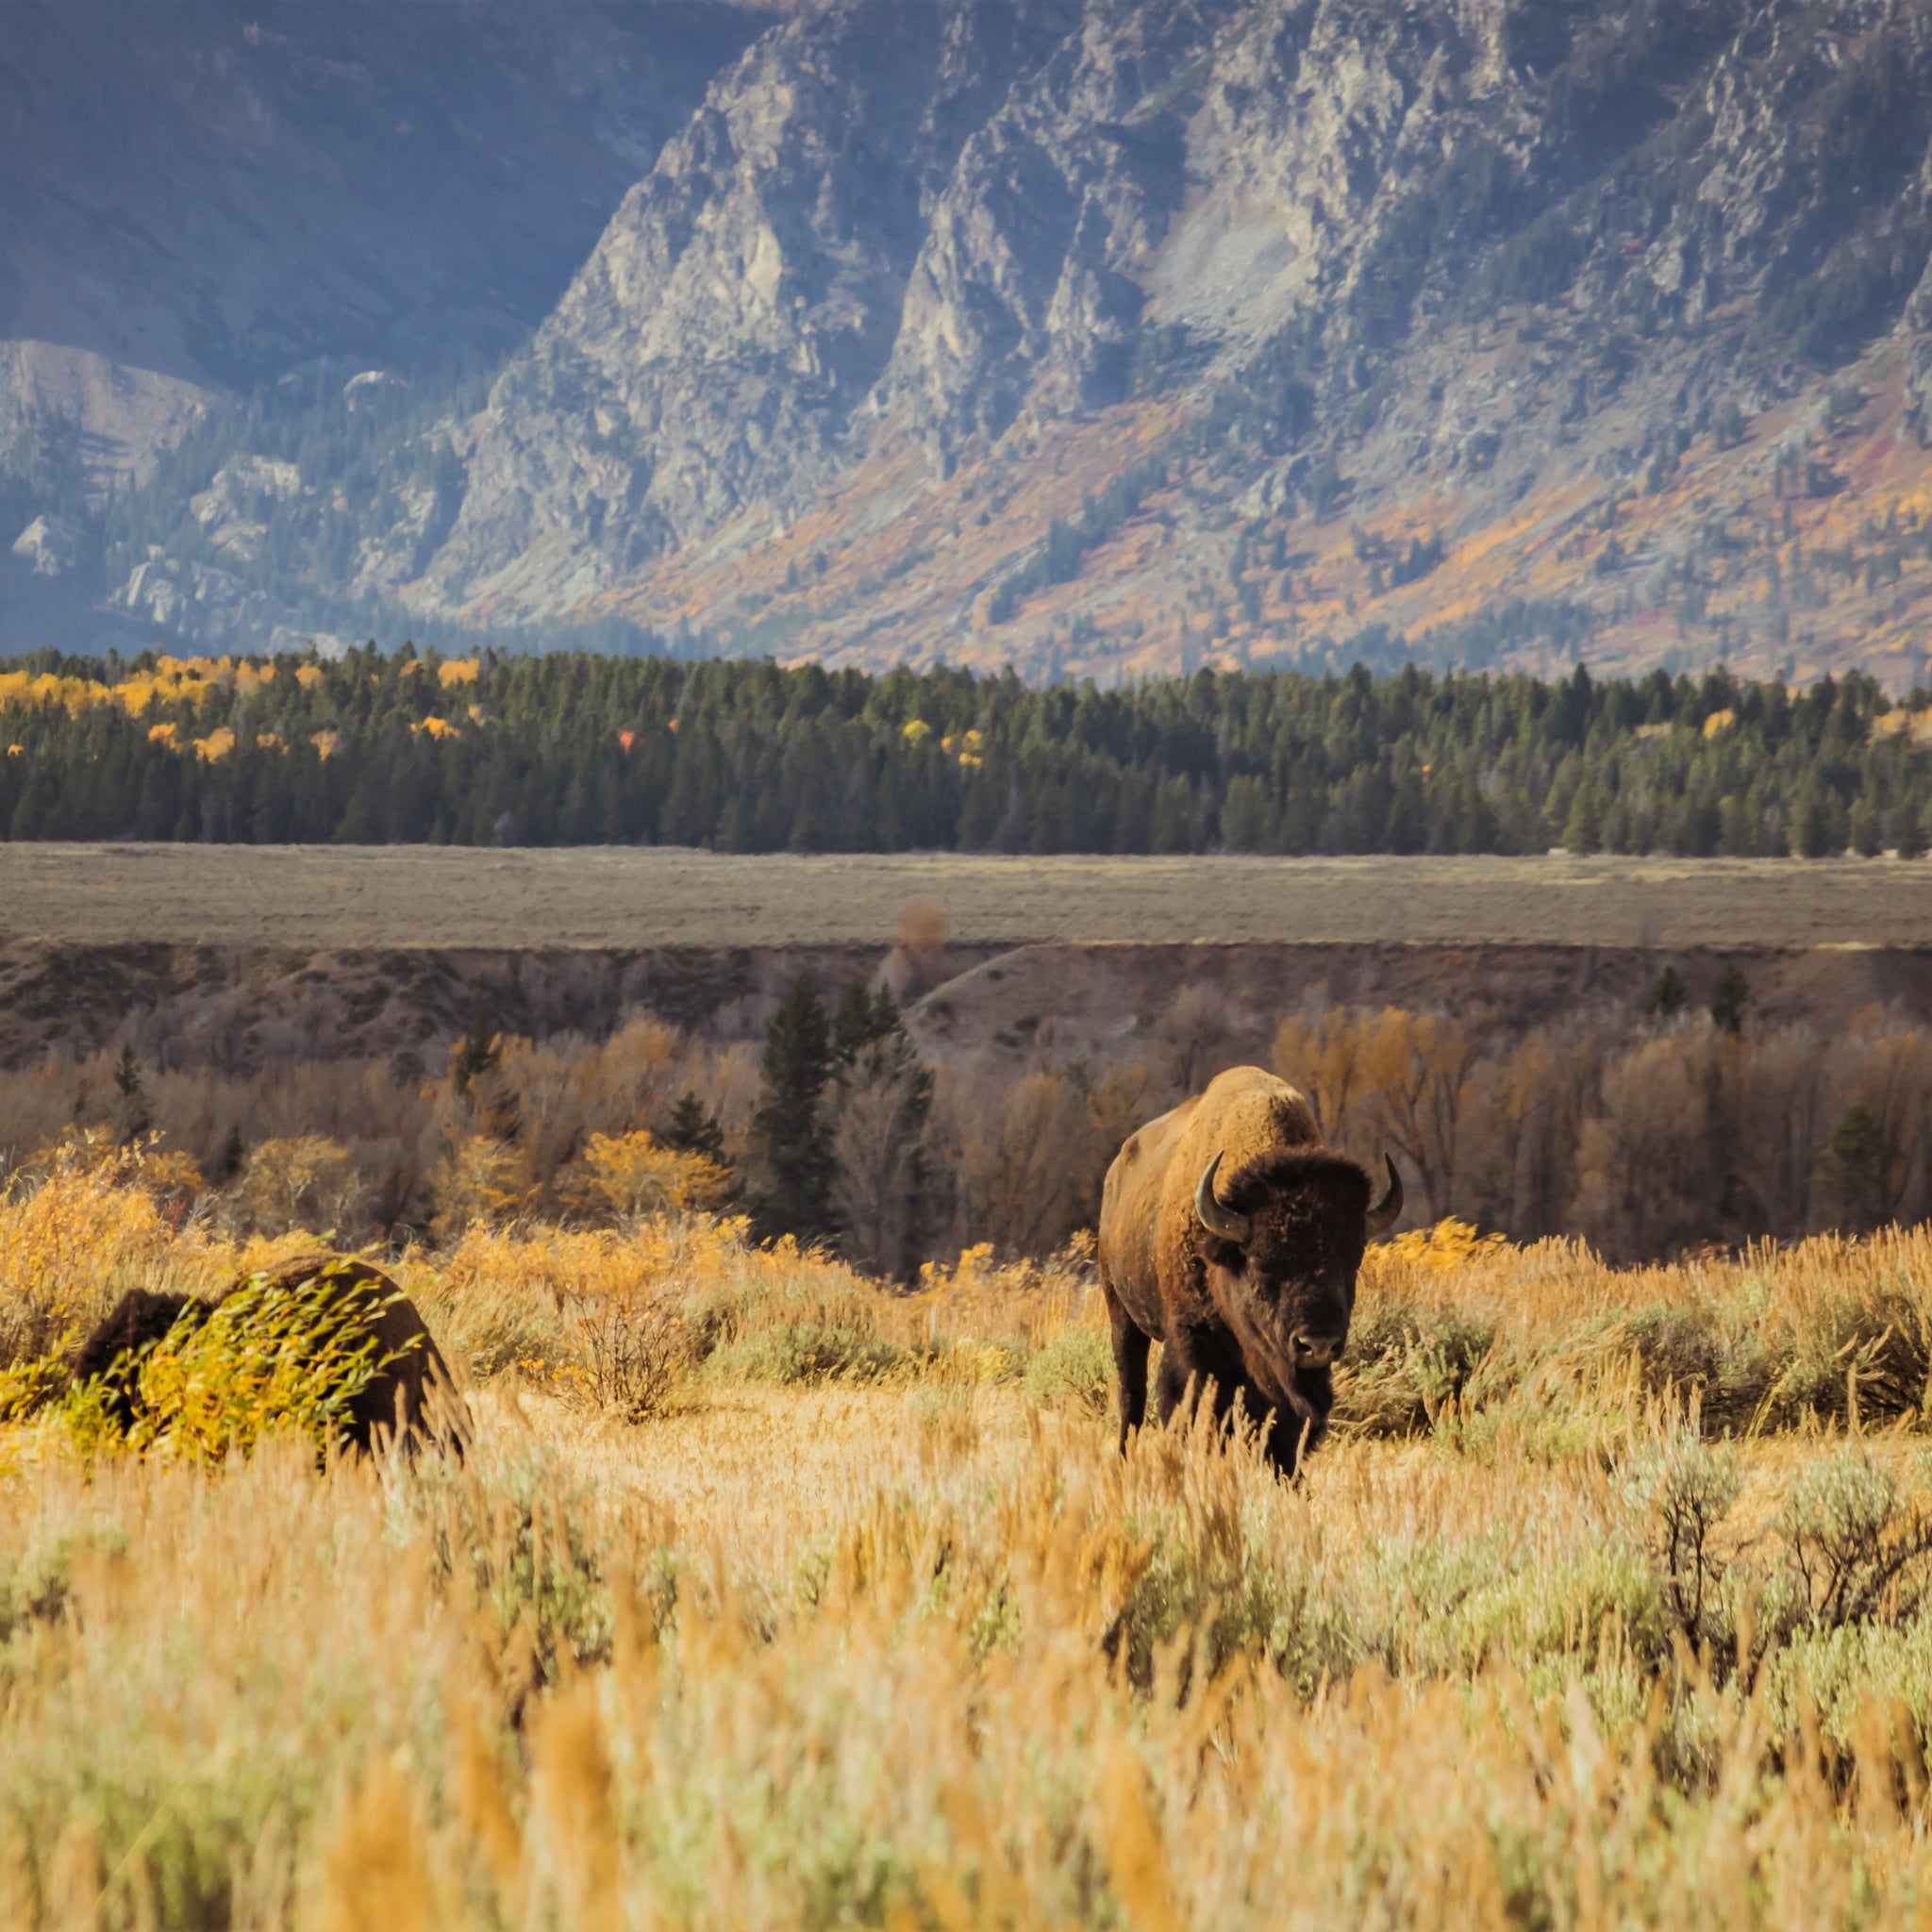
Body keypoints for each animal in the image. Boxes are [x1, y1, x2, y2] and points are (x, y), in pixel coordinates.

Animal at [1105, 1074, 1406, 1475]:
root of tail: (1115, 1175)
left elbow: (1285, 1431)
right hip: (1121, 1312)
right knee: (1131, 1395)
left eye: (1352, 1260)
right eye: (1262, 1264)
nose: (1317, 1343)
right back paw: (1125, 1460)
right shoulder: (1193, 1342)